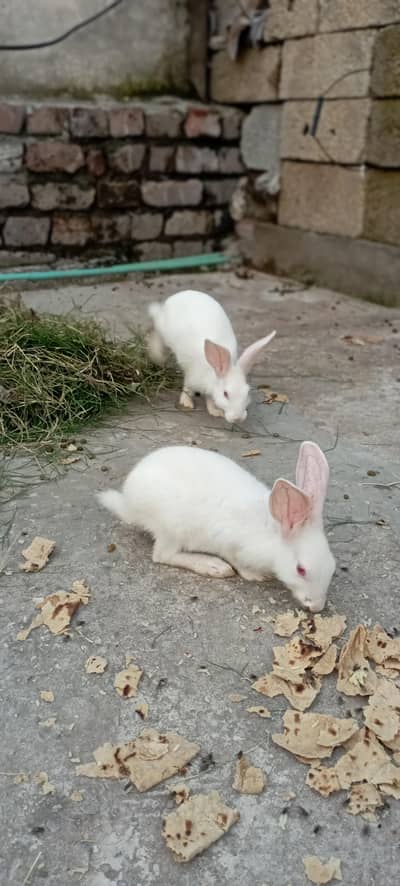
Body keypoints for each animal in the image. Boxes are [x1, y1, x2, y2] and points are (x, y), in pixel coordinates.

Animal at [98, 440, 335, 612]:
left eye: (333, 566)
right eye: (301, 570)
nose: (317, 607)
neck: (273, 535)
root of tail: (129, 503)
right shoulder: (229, 543)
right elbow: (238, 562)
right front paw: (255, 575)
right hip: (172, 528)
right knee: (163, 555)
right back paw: (213, 566)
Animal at [146, 289, 276, 423]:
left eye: (247, 392)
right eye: (225, 394)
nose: (237, 418)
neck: (214, 372)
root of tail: (179, 295)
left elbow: (210, 400)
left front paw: (215, 412)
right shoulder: (191, 377)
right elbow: (187, 389)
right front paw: (186, 403)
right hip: (163, 330)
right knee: (156, 336)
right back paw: (157, 356)